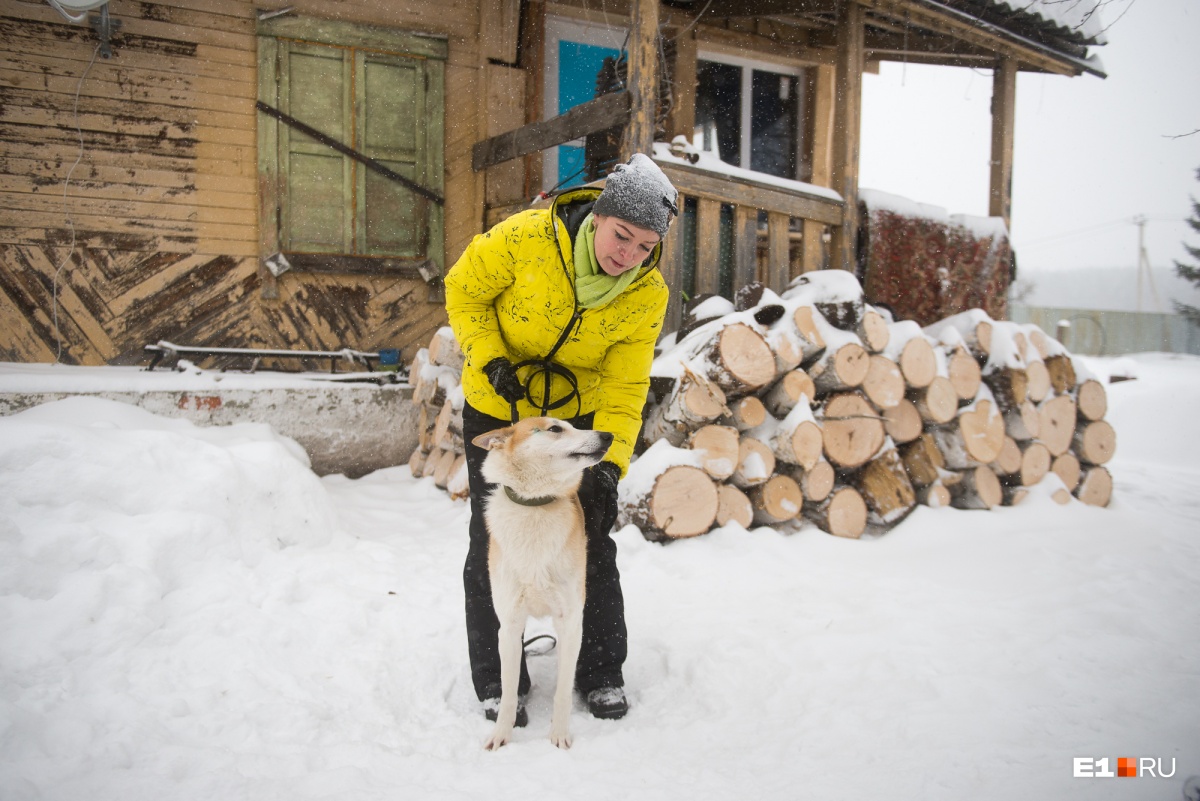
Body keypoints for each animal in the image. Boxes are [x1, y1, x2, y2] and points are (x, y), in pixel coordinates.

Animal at [472, 417, 614, 748]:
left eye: (573, 426)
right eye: (555, 429)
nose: (608, 435)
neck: (534, 504)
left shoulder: (571, 621)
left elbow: (562, 692)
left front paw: (559, 735)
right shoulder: (509, 626)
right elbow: (509, 691)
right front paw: (502, 734)